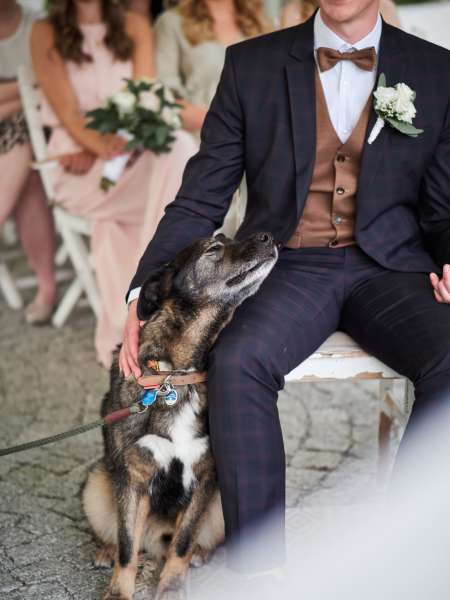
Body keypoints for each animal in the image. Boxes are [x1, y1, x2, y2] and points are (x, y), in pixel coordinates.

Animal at [82, 232, 278, 600]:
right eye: (214, 248)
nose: (267, 236)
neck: (176, 375)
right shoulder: (133, 477)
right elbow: (127, 546)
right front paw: (118, 591)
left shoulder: (206, 477)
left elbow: (183, 541)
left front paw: (172, 585)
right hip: (96, 483)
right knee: (122, 536)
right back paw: (106, 549)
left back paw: (199, 554)